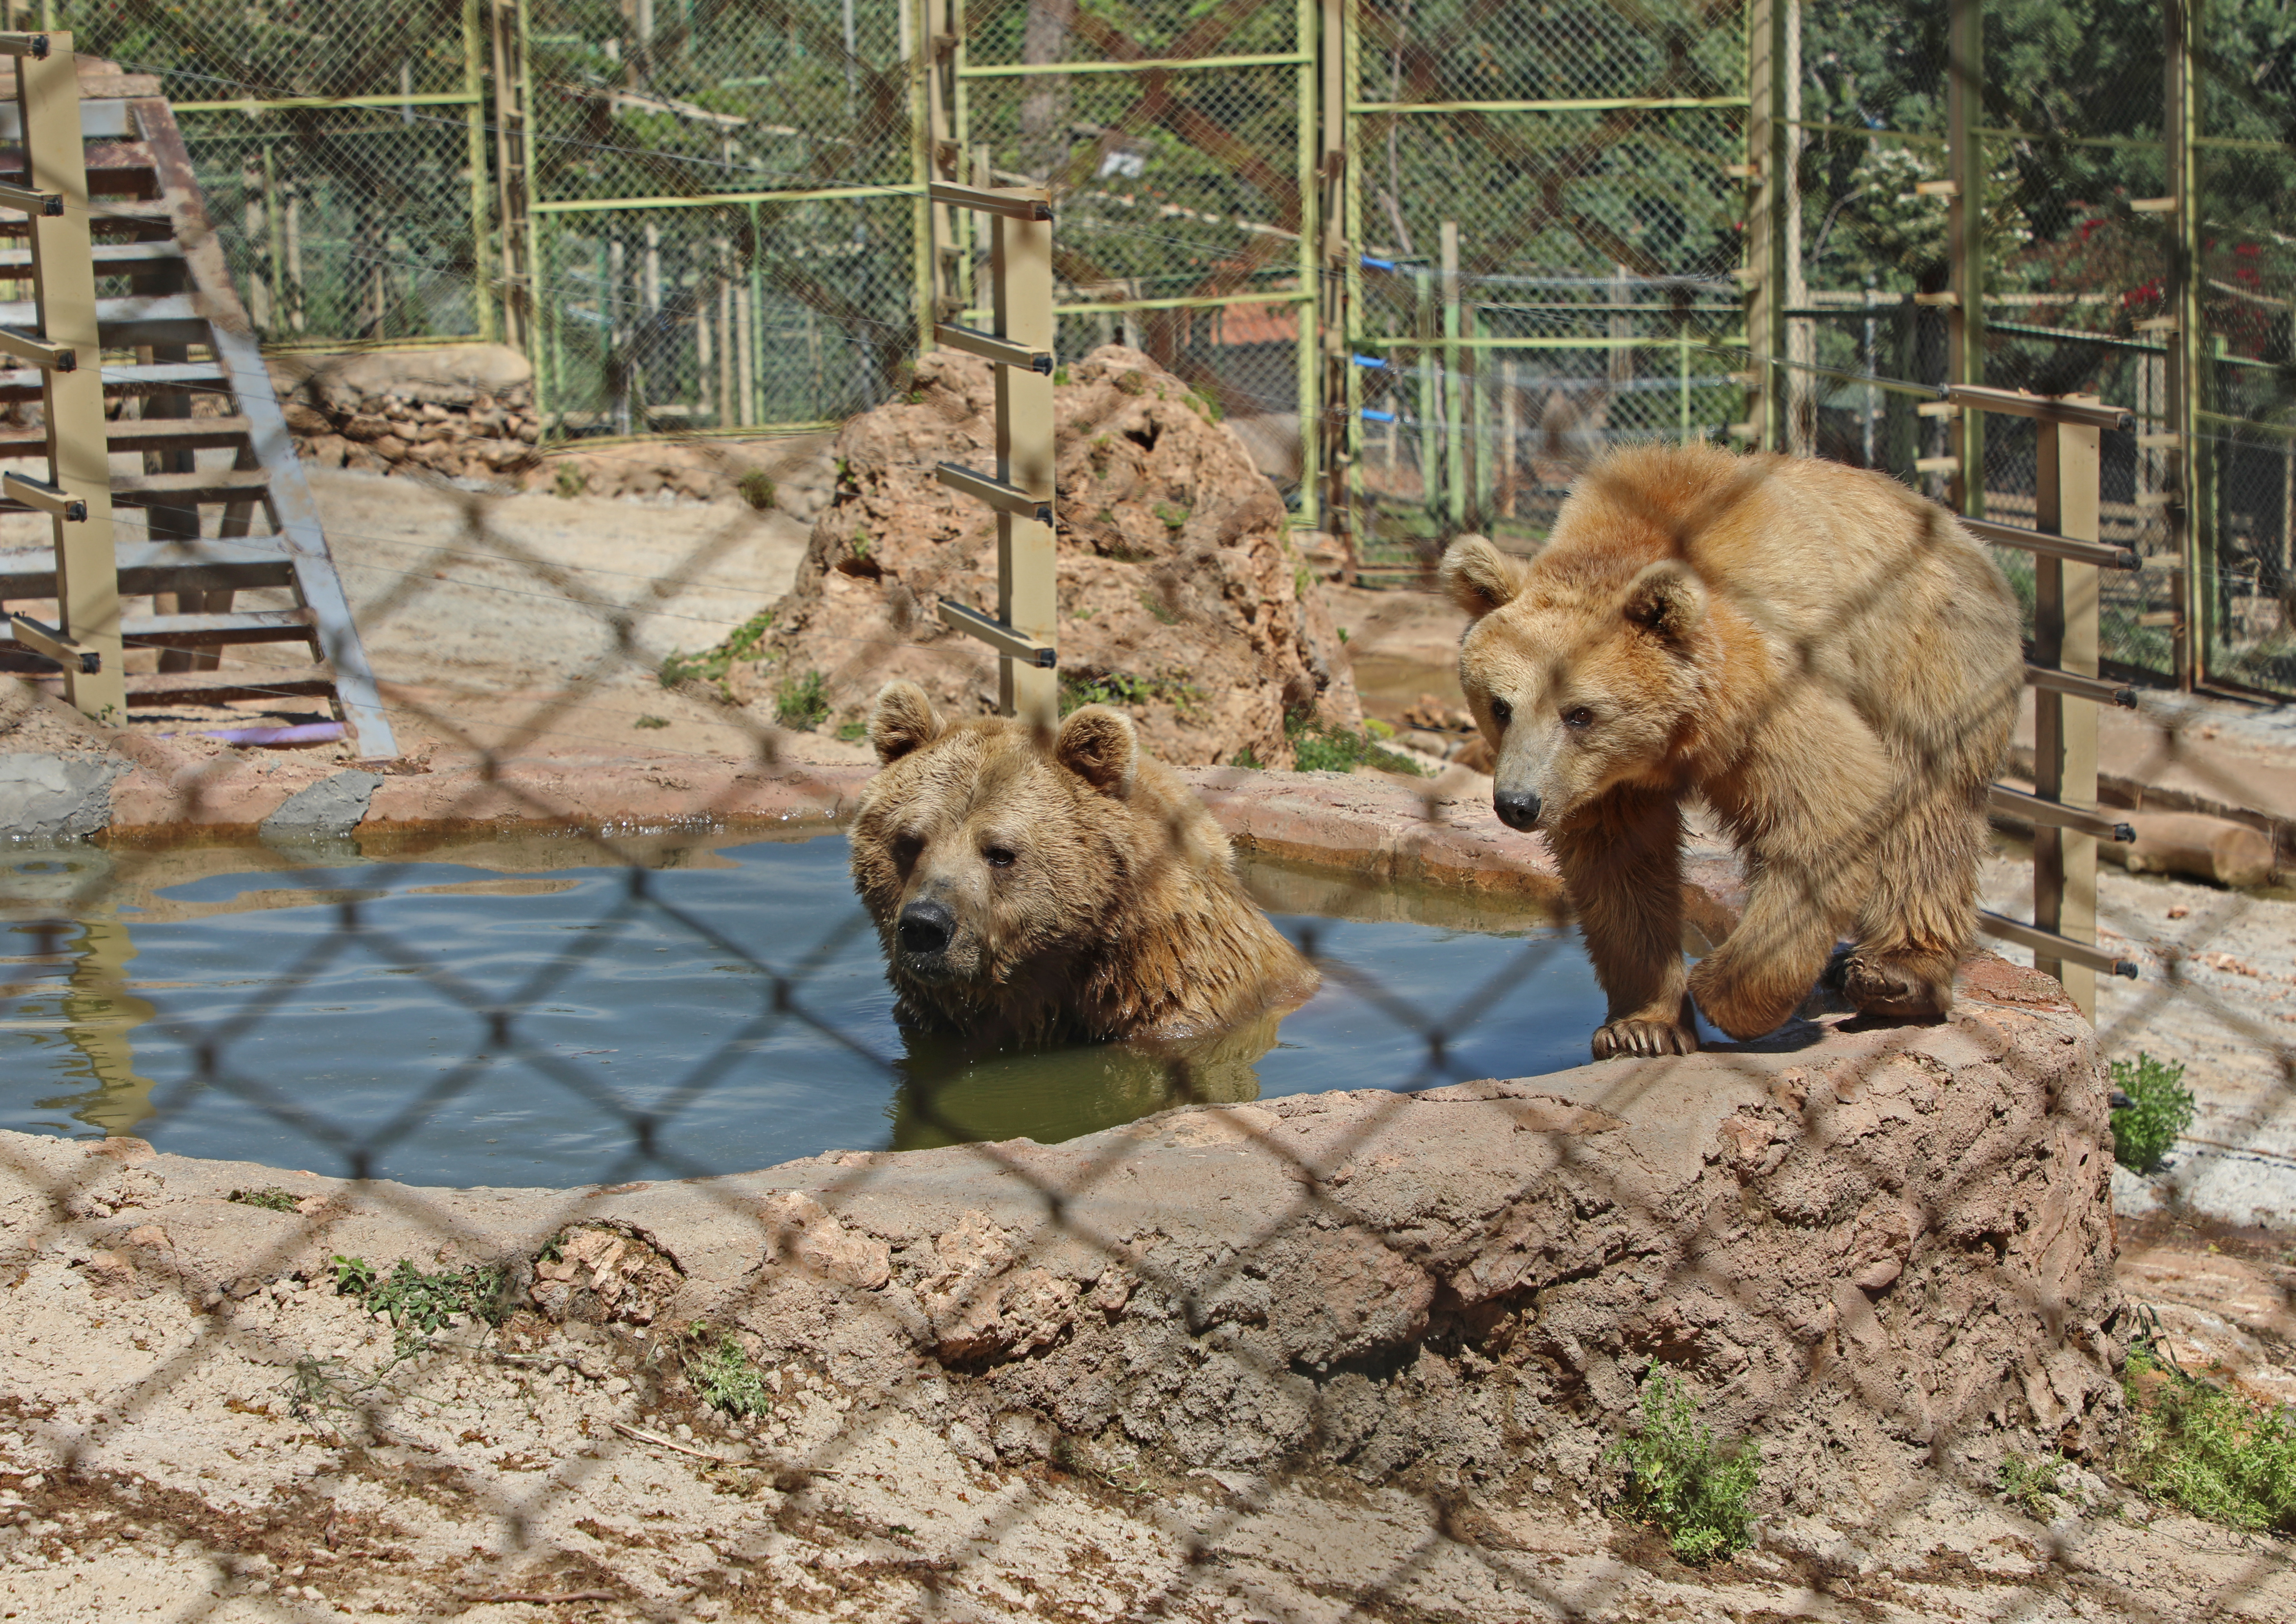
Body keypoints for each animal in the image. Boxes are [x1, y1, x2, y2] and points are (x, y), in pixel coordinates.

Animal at [1442, 439, 2020, 1061]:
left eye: (1579, 713)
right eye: (1500, 706)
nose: (1518, 804)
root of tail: (1961, 532)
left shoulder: (1766, 693)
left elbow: (1825, 806)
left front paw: (1719, 988)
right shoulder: (1603, 783)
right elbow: (1621, 870)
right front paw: (1641, 1026)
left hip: (1926, 653)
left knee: (1929, 809)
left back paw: (1893, 975)